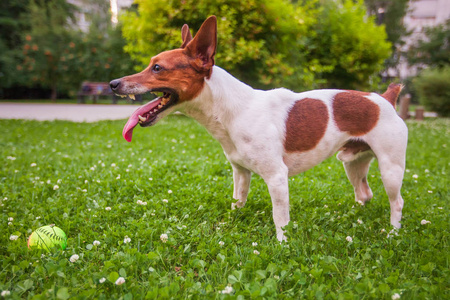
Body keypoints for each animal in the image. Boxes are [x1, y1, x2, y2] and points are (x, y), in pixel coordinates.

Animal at [110, 15, 408, 241]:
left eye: (157, 68)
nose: (113, 83)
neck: (233, 110)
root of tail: (386, 98)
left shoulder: (277, 177)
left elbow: (280, 218)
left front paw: (283, 244)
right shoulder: (240, 172)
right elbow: (237, 201)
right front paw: (231, 221)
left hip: (390, 169)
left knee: (397, 202)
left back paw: (393, 233)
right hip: (352, 162)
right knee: (365, 194)